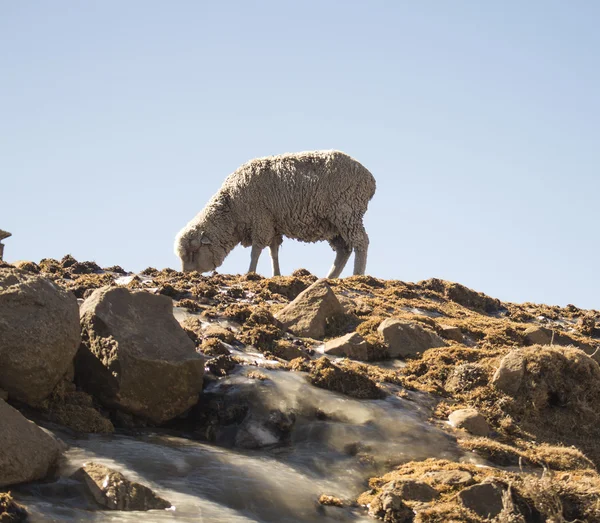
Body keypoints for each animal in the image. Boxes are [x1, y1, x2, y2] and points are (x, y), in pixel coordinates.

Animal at [173, 150, 378, 278]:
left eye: (193, 252)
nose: (186, 274)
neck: (231, 208)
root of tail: (370, 179)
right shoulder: (273, 224)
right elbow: (273, 251)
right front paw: (276, 274)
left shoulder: (260, 220)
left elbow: (256, 251)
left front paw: (250, 272)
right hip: (332, 223)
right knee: (343, 250)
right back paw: (330, 277)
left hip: (346, 212)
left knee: (361, 242)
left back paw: (357, 275)